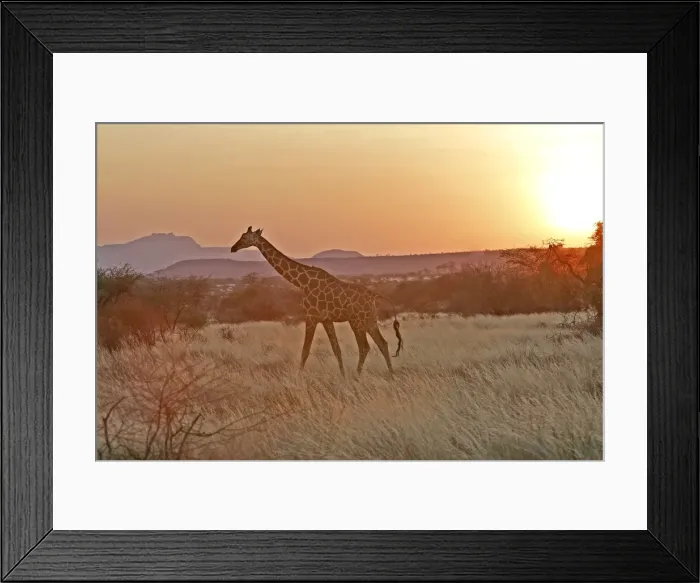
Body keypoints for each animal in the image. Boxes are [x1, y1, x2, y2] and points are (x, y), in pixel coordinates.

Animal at [231, 227, 403, 376]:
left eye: (245, 237)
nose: (233, 248)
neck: (303, 282)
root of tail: (374, 295)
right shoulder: (326, 320)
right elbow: (336, 349)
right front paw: (342, 376)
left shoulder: (311, 317)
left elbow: (305, 350)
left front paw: (298, 378)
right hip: (369, 319)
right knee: (382, 343)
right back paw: (391, 374)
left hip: (357, 320)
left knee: (365, 346)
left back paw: (358, 375)